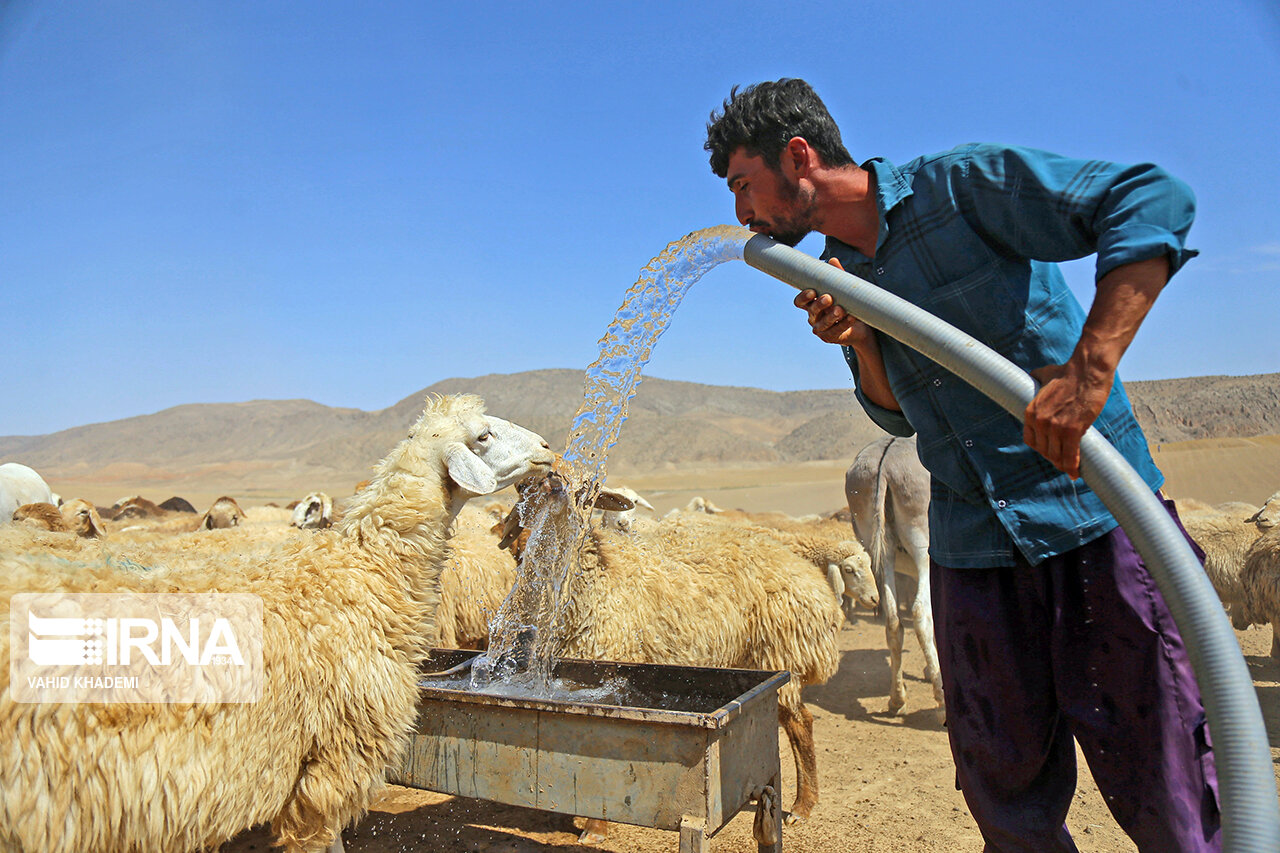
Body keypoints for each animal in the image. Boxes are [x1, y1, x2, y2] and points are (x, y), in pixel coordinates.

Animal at [501, 473, 849, 835]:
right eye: (521, 490)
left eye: (587, 493)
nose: (524, 543)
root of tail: (811, 577)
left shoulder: (606, 666)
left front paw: (595, 827)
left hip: (780, 653)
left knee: (800, 722)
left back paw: (803, 806)